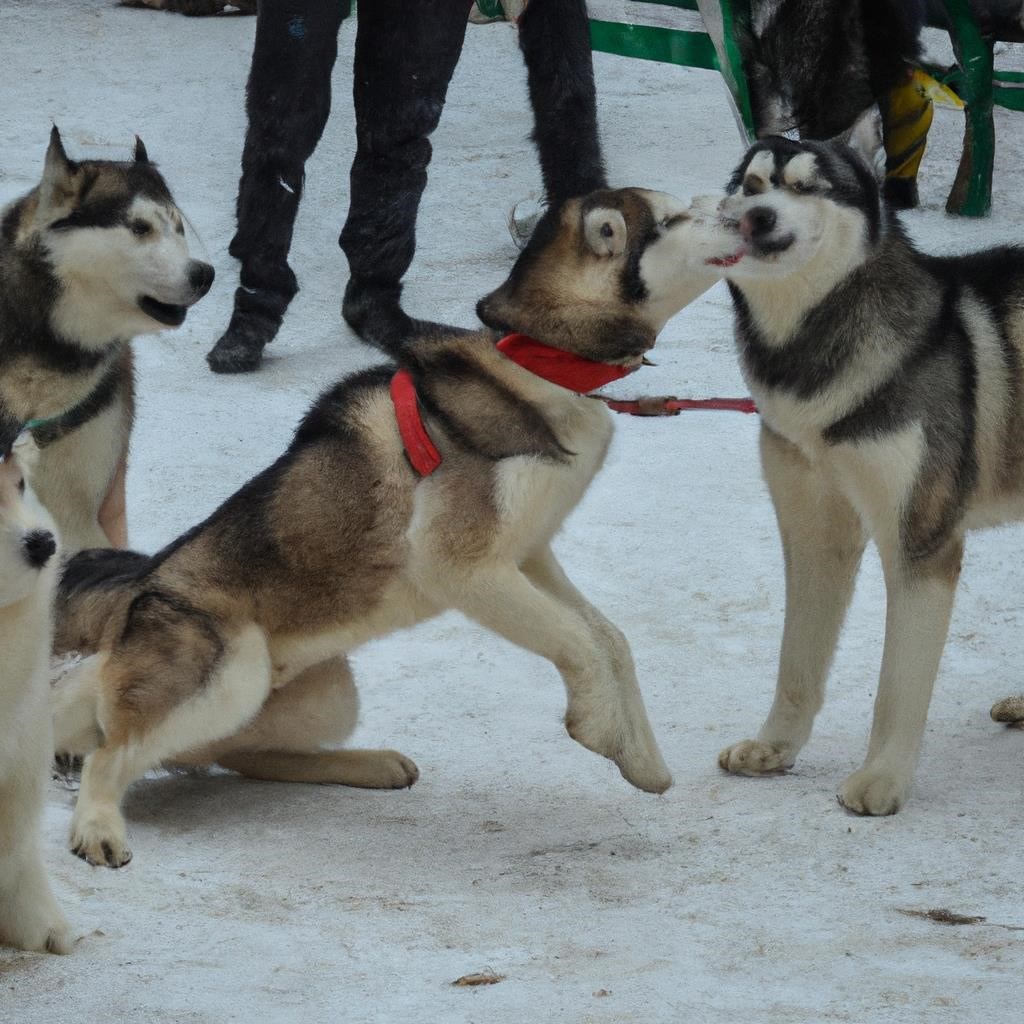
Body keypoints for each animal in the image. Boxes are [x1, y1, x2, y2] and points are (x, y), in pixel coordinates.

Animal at [49, 186, 737, 864]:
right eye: (674, 218)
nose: (743, 211)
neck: (541, 365)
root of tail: (138, 591)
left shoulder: (528, 555)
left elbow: (610, 638)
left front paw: (643, 758)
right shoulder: (461, 566)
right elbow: (578, 639)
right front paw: (598, 727)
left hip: (326, 696)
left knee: (234, 753)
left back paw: (368, 765)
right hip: (230, 672)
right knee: (110, 751)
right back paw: (98, 825)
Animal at [708, 136, 1024, 815]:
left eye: (807, 187)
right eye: (751, 185)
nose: (757, 218)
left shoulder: (921, 541)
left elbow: (898, 685)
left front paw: (882, 778)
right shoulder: (814, 532)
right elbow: (796, 663)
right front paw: (774, 748)